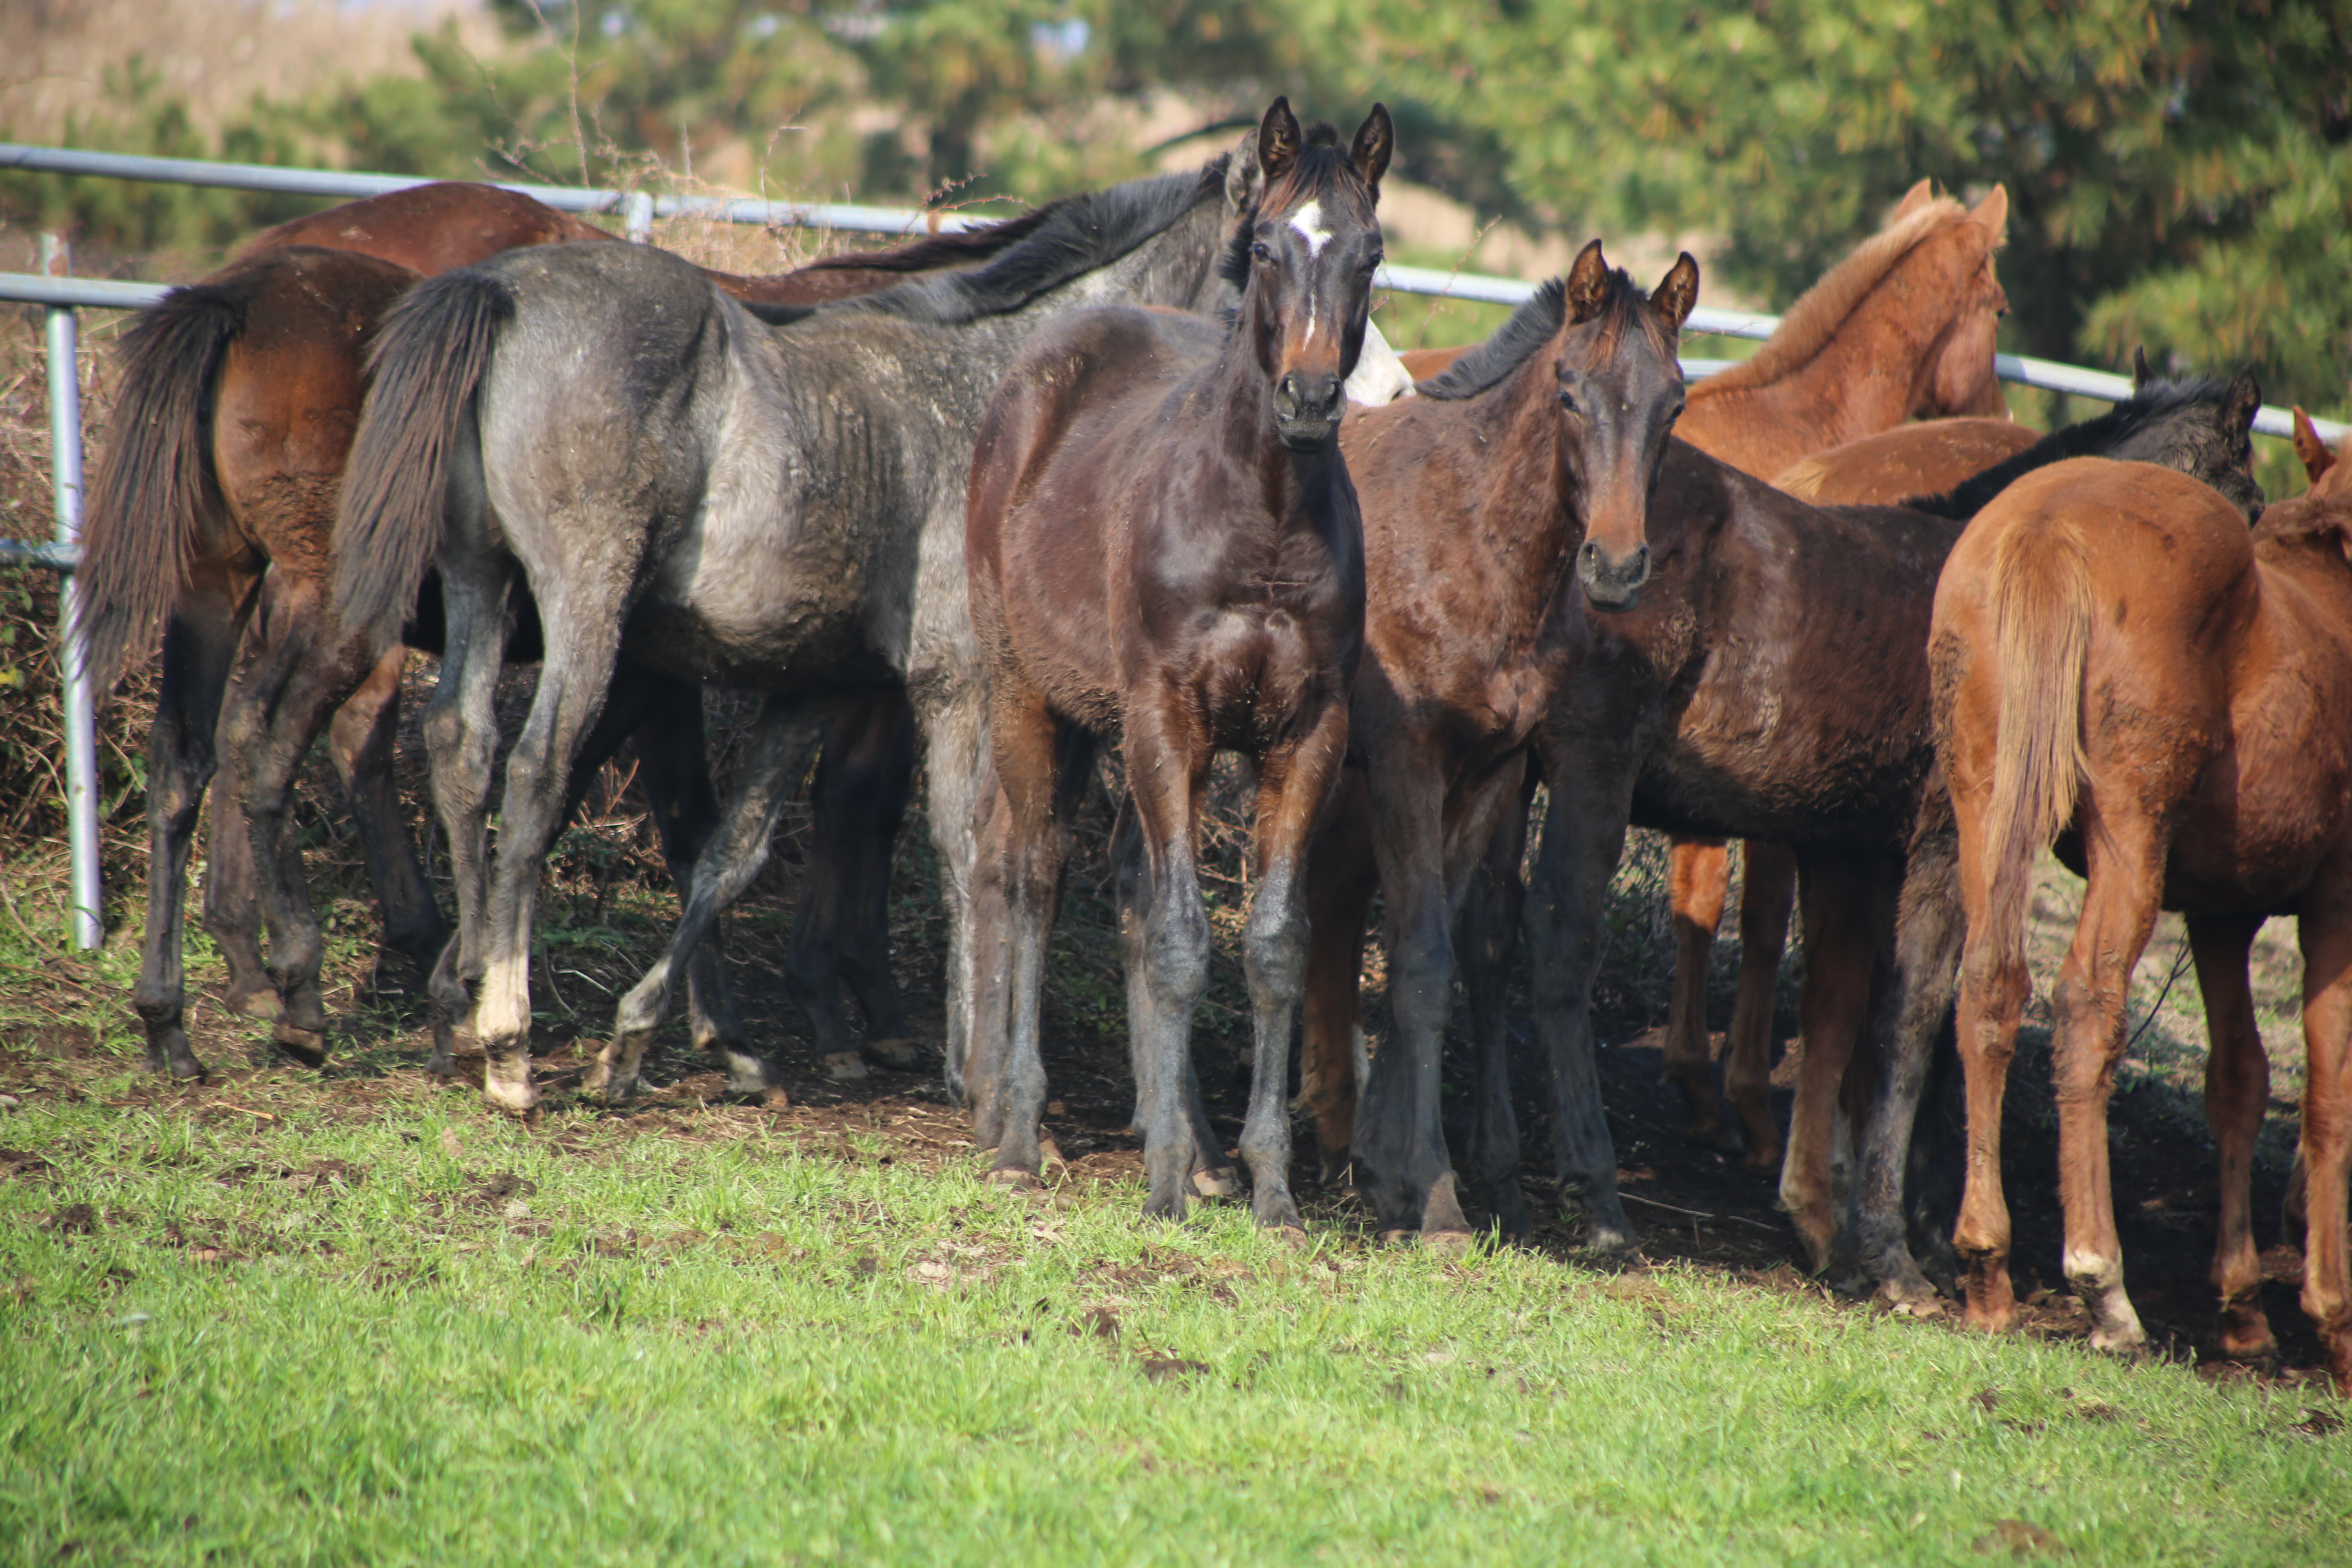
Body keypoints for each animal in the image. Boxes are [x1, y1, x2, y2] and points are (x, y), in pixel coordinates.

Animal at [78, 184, 1044, 1086]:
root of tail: (241, 293)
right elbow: (818, 806)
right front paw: (810, 1018)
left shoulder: (690, 674)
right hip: (332, 599)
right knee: (272, 742)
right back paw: (306, 983)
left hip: (221, 585)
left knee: (202, 752)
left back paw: (193, 1005)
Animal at [336, 153, 1270, 1114]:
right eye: (1272, 263)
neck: (1004, 396)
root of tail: (499, 286)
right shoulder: (956, 680)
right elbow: (969, 848)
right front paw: (972, 1070)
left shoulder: (817, 683)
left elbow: (733, 852)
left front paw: (641, 1046)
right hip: (586, 601)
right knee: (534, 773)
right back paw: (508, 1044)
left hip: (479, 576)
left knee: (462, 745)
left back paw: (460, 1007)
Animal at [969, 101, 1392, 1222]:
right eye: (1265, 246)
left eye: (1372, 253)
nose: (1307, 399)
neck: (1261, 520)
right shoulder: (1171, 716)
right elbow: (1179, 937)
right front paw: (1160, 1187)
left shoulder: (1305, 732)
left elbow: (1273, 943)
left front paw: (1268, 1186)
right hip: (1029, 693)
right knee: (1032, 872)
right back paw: (1020, 1134)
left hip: (1104, 719)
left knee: (1112, 875)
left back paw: (1190, 1144)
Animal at [1289, 242, 1693, 1250]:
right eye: (1569, 391)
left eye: (1674, 404)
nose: (1617, 568)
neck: (1470, 542)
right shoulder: (1409, 762)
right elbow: (1424, 964)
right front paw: (1434, 1197)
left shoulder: (1490, 774)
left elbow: (1441, 950)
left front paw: (1397, 1175)